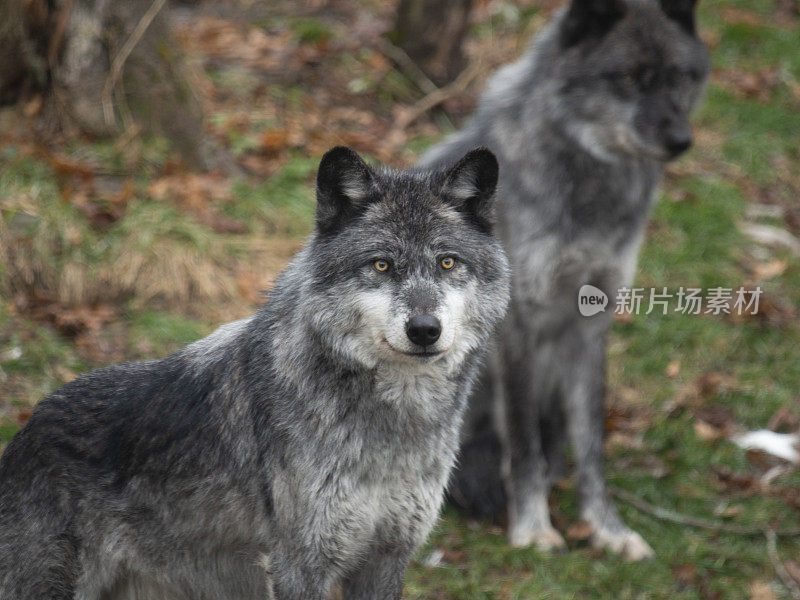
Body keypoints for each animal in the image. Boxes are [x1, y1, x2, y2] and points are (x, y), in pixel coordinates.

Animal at [0, 146, 510, 600]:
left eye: (447, 262)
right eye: (382, 264)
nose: (424, 330)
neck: (392, 428)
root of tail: (27, 428)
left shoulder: (386, 558)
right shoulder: (299, 567)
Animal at [422, 0, 708, 564]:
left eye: (679, 77)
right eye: (628, 78)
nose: (680, 141)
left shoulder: (592, 320)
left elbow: (592, 441)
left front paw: (606, 528)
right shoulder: (516, 325)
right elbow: (523, 439)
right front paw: (533, 529)